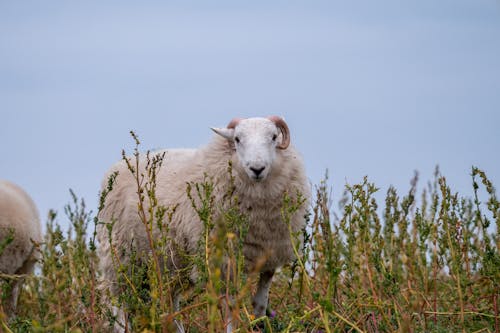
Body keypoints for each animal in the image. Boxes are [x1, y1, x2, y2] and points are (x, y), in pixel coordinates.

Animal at [96, 116, 310, 330]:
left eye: (273, 137)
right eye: (238, 139)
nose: (257, 169)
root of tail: (116, 168)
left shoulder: (268, 258)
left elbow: (260, 304)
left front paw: (259, 325)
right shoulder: (225, 263)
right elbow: (231, 308)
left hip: (168, 265)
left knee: (171, 306)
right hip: (120, 259)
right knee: (119, 305)